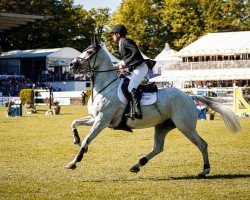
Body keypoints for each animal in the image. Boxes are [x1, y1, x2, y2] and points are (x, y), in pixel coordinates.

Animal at [65, 37, 241, 177]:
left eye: (88, 52)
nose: (71, 65)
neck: (105, 87)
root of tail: (189, 97)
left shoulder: (102, 121)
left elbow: (87, 139)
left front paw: (74, 162)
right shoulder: (95, 118)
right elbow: (74, 123)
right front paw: (76, 140)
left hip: (185, 127)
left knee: (202, 144)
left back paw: (205, 170)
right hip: (163, 126)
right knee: (158, 148)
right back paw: (137, 165)